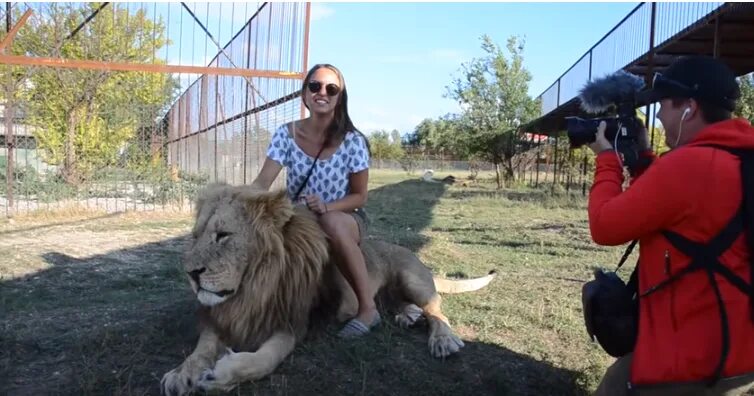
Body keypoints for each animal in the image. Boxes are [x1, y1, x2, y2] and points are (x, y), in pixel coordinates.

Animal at [159, 184, 496, 394]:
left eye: (223, 235)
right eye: (196, 235)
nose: (191, 274)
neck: (254, 288)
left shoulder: (292, 323)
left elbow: (263, 360)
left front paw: (221, 375)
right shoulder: (222, 317)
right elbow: (201, 349)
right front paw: (182, 374)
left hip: (412, 279)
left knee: (437, 311)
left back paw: (443, 340)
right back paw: (406, 316)